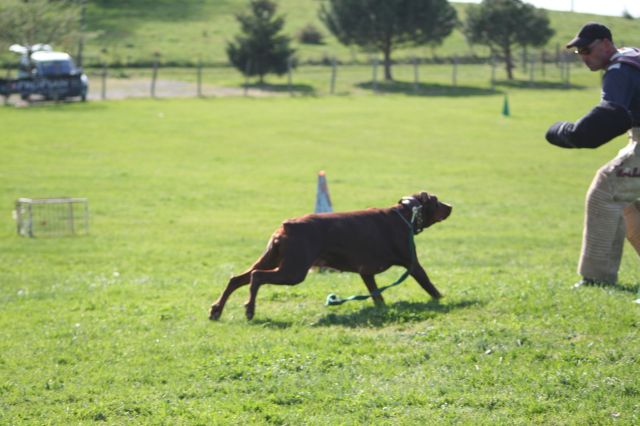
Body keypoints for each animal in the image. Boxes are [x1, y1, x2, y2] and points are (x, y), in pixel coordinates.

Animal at [209, 191, 452, 320]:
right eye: (437, 200)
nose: (451, 205)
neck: (406, 214)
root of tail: (286, 227)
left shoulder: (366, 272)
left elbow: (377, 296)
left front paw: (381, 309)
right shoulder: (412, 263)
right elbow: (429, 285)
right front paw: (443, 299)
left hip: (273, 258)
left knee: (237, 279)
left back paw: (217, 310)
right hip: (294, 270)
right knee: (257, 276)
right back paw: (249, 309)